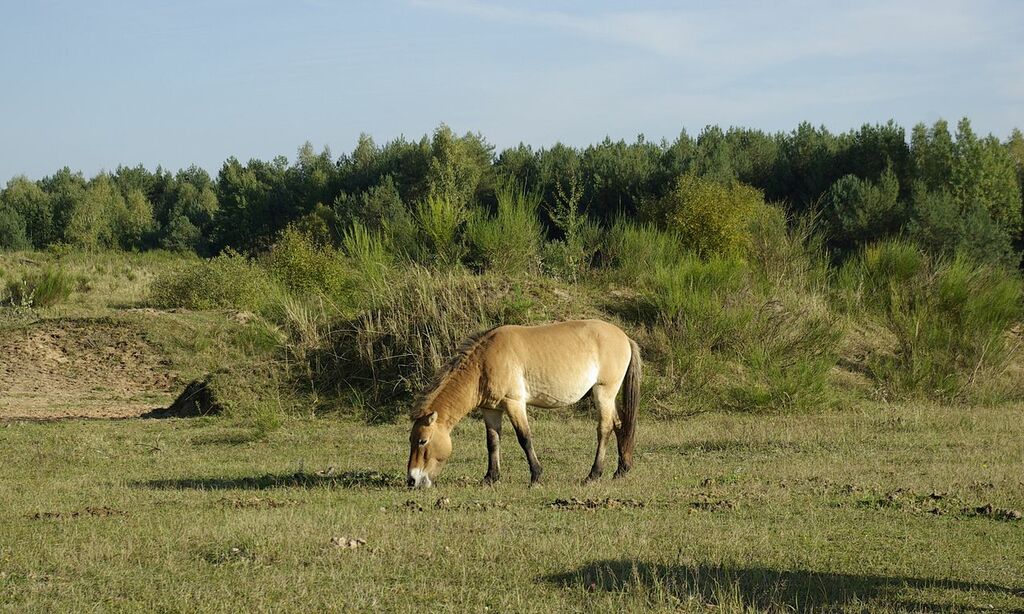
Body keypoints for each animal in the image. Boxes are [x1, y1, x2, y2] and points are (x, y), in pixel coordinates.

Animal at [406, 319, 641, 488]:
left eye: (422, 441)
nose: (412, 480)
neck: (484, 363)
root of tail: (625, 338)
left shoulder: (514, 403)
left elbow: (524, 438)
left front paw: (536, 477)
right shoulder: (491, 410)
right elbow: (492, 441)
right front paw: (490, 478)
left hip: (604, 392)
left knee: (605, 429)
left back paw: (593, 475)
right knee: (619, 425)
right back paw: (621, 470)